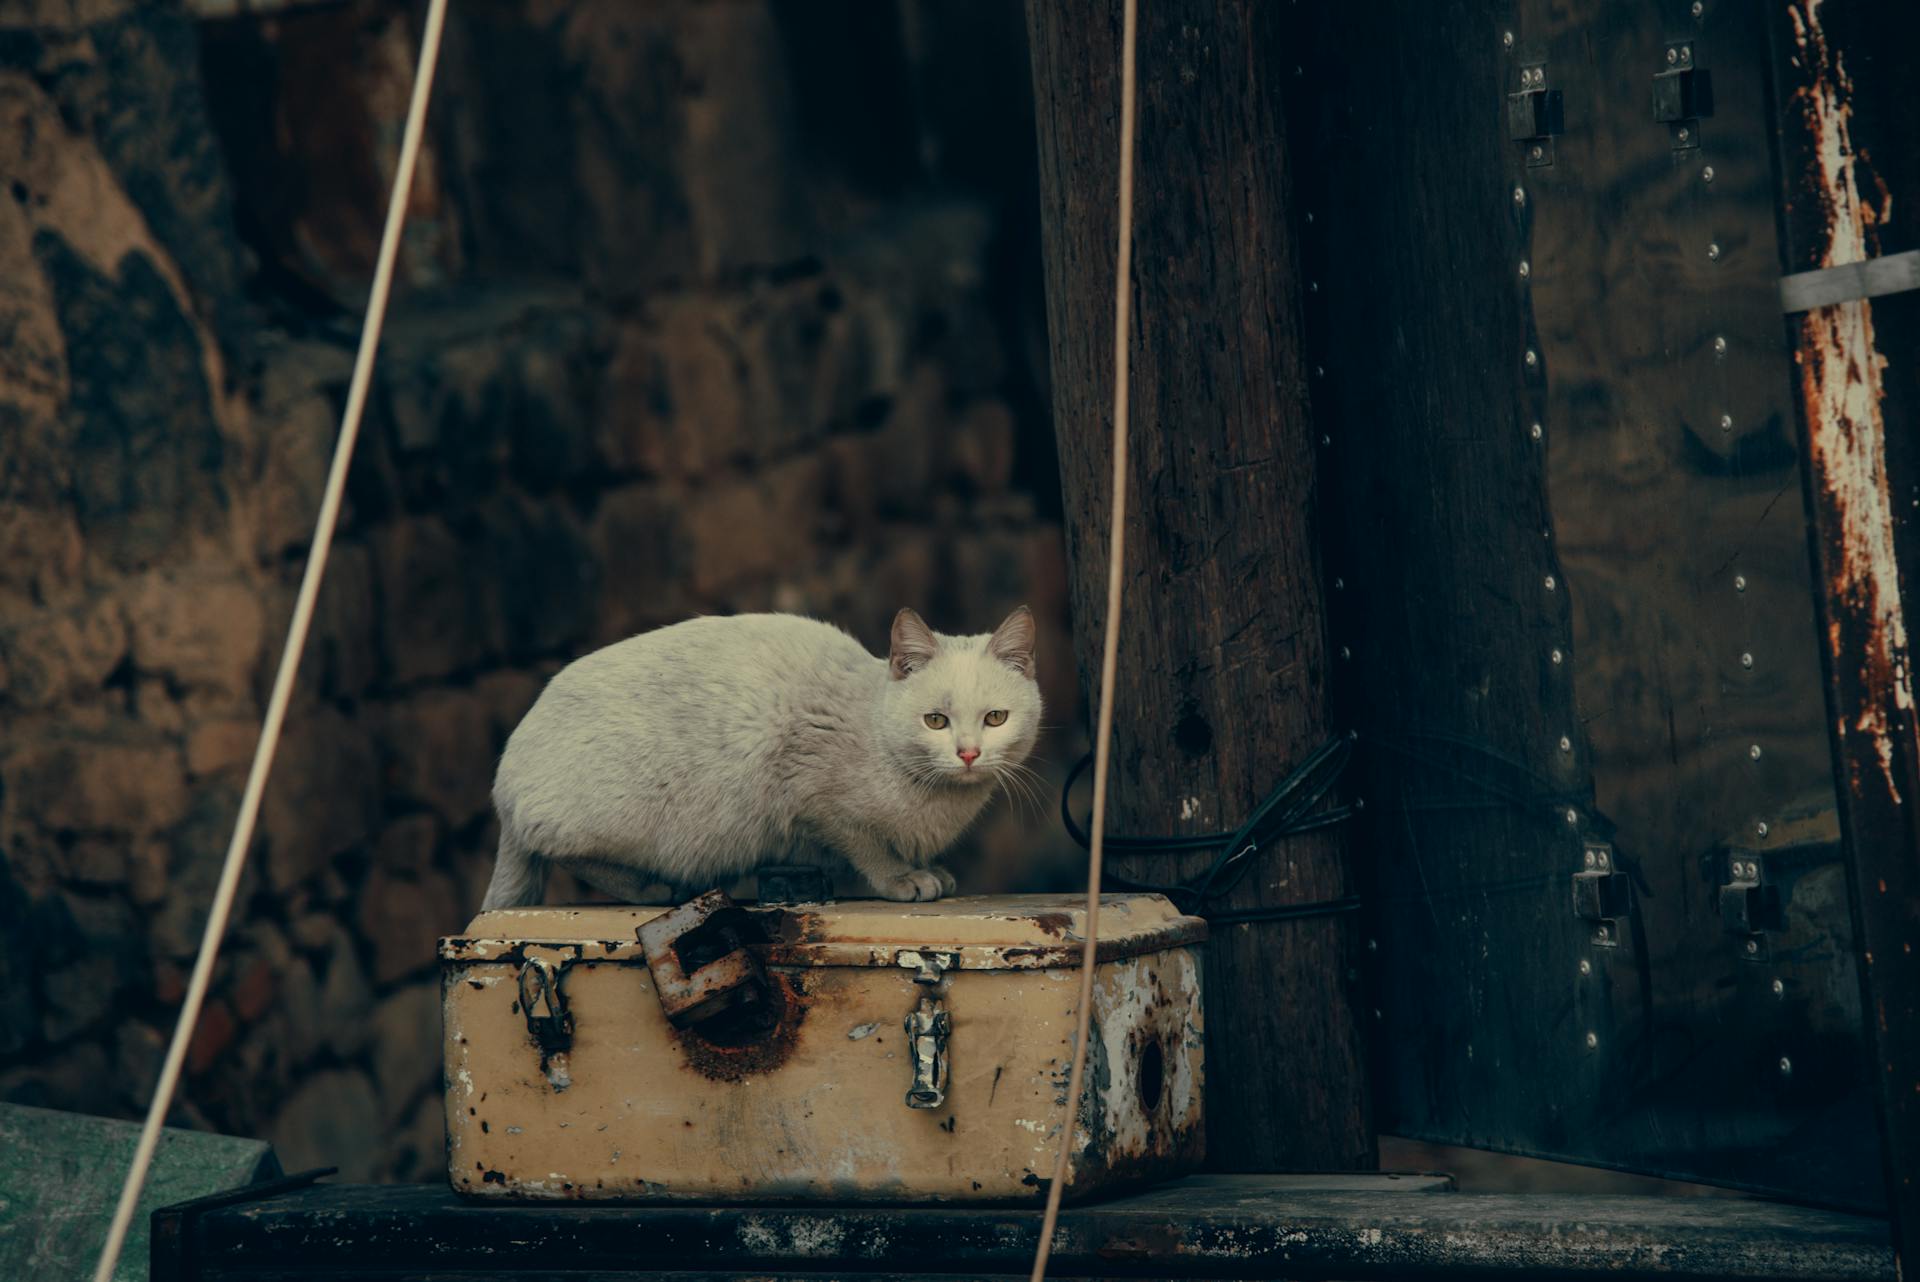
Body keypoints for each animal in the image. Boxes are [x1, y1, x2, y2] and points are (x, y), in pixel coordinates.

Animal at [487, 606, 1044, 905]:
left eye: (995, 719)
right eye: (936, 721)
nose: (968, 753)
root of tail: (504, 788)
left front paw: (929, 869)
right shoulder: (817, 797)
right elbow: (867, 847)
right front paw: (902, 878)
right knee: (559, 849)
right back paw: (652, 889)